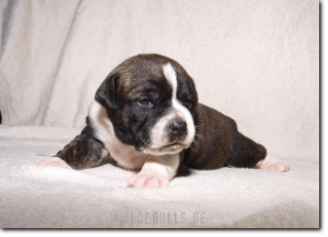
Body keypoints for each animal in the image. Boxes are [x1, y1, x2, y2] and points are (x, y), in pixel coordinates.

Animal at [36, 53, 290, 187]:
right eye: (145, 102)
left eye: (189, 102)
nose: (180, 126)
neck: (127, 140)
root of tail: (230, 122)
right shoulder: (93, 138)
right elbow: (75, 150)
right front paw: (55, 162)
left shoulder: (172, 149)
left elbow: (158, 159)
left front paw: (149, 175)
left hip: (236, 148)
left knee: (256, 151)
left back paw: (275, 163)